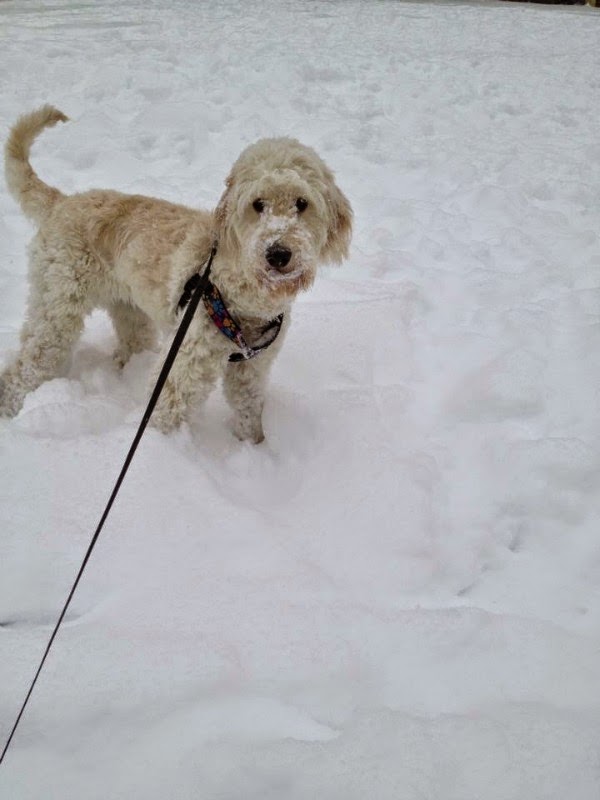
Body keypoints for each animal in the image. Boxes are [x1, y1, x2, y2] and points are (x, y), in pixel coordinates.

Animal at [1, 106, 352, 441]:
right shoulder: (187, 359)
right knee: (25, 367)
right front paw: (159, 450)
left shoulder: (252, 368)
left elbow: (248, 409)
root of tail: (63, 201)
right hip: (56, 310)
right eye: (257, 203)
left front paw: (255, 448)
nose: (278, 254)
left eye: (302, 203)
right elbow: (166, 409)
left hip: (129, 311)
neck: (241, 292)